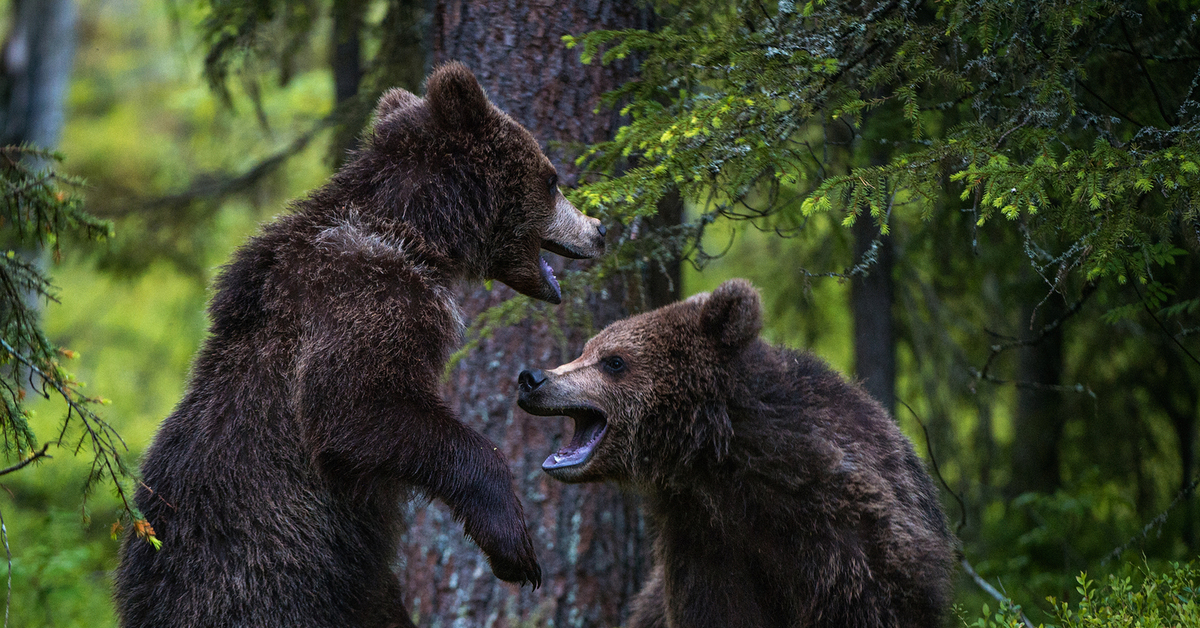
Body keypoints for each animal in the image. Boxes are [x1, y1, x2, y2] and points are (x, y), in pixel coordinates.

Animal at [113, 62, 604, 628]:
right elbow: (359, 412)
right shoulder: (364, 299)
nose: (599, 228)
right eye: (552, 179)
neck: (416, 234)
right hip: (268, 586)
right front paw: (515, 547)